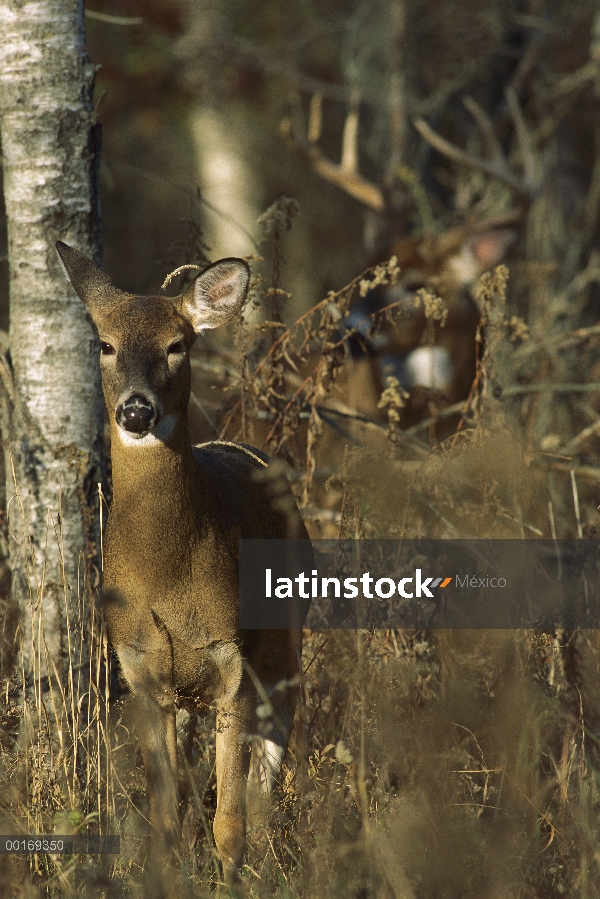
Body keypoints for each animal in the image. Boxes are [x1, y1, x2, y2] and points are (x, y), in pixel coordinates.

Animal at [56, 243, 312, 888]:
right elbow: (167, 821)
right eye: (105, 344)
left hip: (284, 645)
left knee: (271, 770)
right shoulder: (142, 670)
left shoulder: (232, 663)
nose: (136, 411)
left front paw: (233, 882)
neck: (167, 577)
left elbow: (230, 821)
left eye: (178, 344)